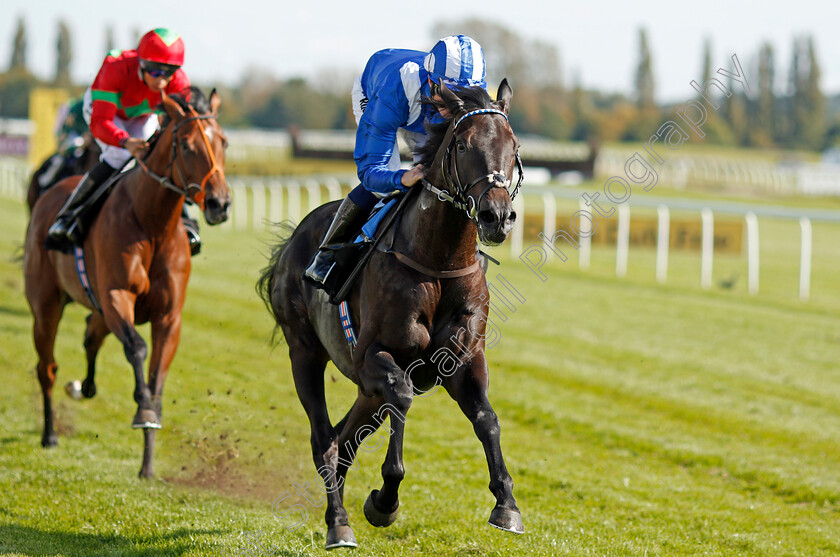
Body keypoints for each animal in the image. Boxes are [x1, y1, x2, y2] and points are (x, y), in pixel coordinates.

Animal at [24, 88, 231, 478]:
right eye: (185, 145)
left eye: (223, 142)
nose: (219, 203)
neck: (152, 223)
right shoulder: (116, 296)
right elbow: (137, 350)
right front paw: (144, 413)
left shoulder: (168, 316)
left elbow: (155, 380)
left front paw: (148, 464)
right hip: (46, 306)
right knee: (47, 368)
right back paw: (49, 434)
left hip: (97, 310)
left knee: (90, 335)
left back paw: (84, 387)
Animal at [260, 79, 524, 548]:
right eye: (461, 145)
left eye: (513, 147)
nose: (497, 216)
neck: (436, 261)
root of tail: (292, 242)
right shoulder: (374, 357)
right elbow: (401, 396)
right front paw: (385, 500)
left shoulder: (463, 359)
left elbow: (487, 418)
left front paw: (506, 504)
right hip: (304, 350)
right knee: (323, 438)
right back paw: (338, 522)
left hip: (363, 389)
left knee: (344, 436)